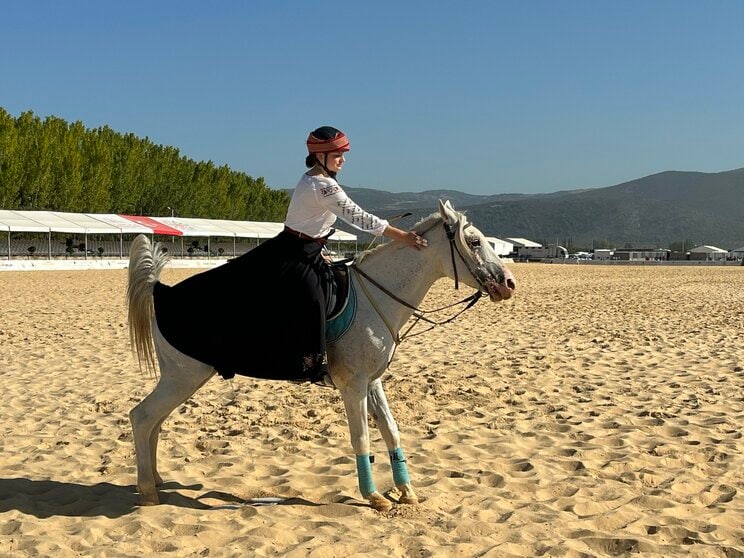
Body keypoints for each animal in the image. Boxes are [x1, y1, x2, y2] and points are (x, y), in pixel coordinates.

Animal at [126, 201, 512, 512]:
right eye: (474, 242)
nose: (509, 283)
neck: (375, 296)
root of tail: (160, 291)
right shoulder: (352, 386)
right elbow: (362, 438)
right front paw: (374, 496)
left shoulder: (372, 382)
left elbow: (391, 431)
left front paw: (407, 491)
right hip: (183, 377)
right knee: (142, 417)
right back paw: (148, 492)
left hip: (180, 379)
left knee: (154, 422)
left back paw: (156, 479)